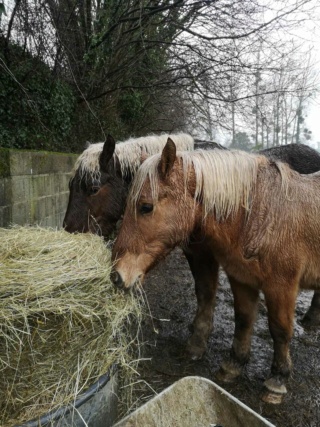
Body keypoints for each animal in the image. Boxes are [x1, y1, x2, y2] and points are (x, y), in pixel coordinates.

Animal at [111, 140, 320, 404]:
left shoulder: (281, 287)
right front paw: (233, 365)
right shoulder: (242, 279)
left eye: (146, 207)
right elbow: (243, 319)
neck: (262, 214)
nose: (117, 275)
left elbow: (280, 330)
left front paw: (277, 381)